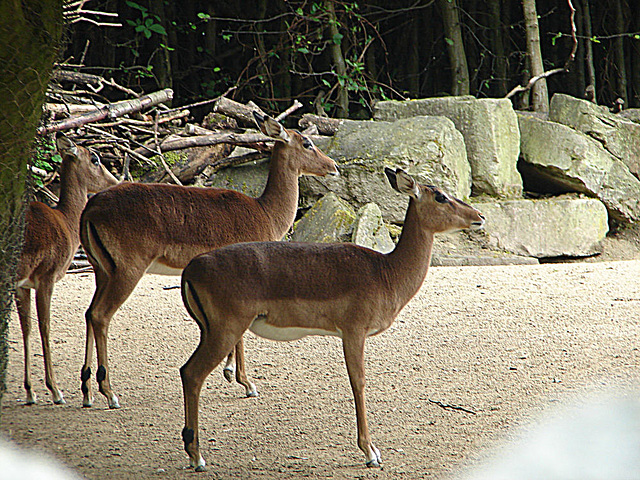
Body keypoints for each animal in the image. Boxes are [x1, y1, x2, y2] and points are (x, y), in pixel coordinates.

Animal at [15, 135, 119, 404]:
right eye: (95, 158)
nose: (114, 182)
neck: (65, 221)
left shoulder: (23, 286)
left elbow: (27, 328)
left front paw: (30, 392)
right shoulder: (46, 278)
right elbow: (45, 326)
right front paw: (56, 391)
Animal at [78, 112, 338, 408]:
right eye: (307, 143)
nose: (333, 166)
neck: (266, 213)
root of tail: (91, 207)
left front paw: (231, 373)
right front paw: (246, 383)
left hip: (102, 271)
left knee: (89, 313)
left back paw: (87, 393)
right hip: (127, 271)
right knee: (100, 315)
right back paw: (110, 394)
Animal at [180, 168, 484, 468]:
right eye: (441, 196)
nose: (479, 217)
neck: (387, 272)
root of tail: (192, 268)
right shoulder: (354, 331)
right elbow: (358, 381)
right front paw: (371, 453)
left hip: (211, 331)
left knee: (186, 371)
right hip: (226, 331)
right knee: (192, 373)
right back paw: (198, 457)